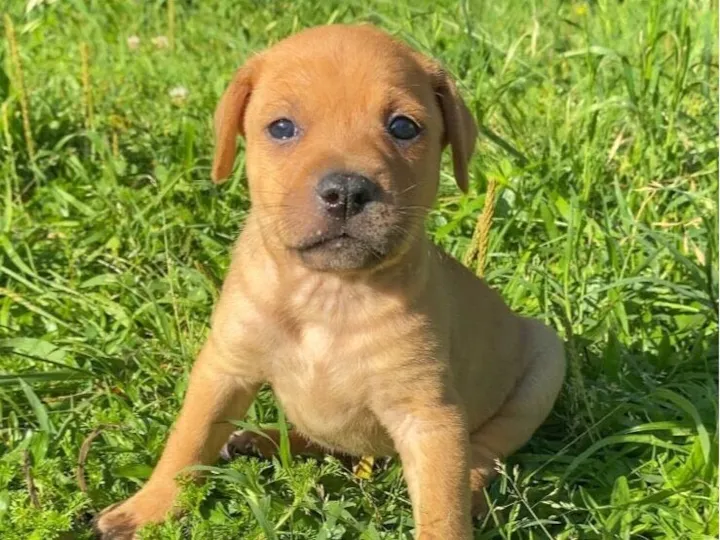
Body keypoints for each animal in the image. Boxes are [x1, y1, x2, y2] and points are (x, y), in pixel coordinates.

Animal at [95, 24, 565, 539]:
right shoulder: (224, 368)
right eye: (282, 127)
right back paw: (261, 440)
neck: (328, 294)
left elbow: (443, 509)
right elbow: (188, 442)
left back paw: (476, 488)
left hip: (546, 362)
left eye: (404, 127)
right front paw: (150, 507)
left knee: (486, 450)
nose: (346, 191)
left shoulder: (429, 416)